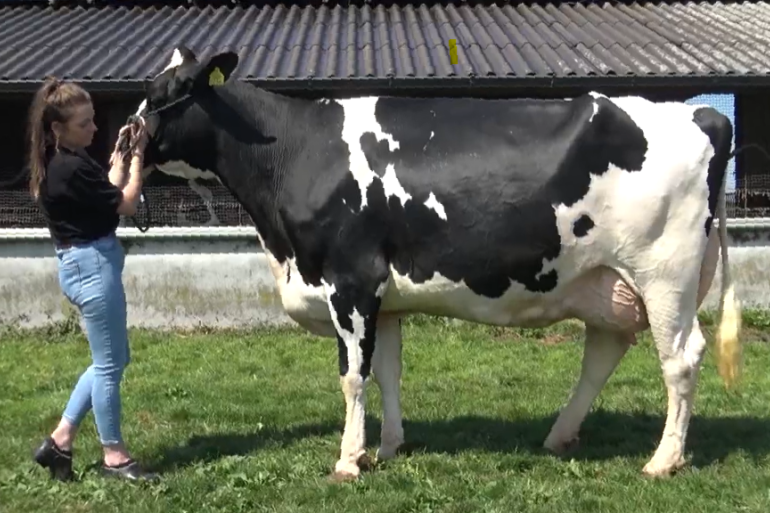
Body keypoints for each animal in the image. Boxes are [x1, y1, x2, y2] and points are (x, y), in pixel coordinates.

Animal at [132, 46, 741, 481]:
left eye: (165, 91)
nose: (125, 137)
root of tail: (702, 113)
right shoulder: (384, 297)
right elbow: (386, 370)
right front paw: (388, 447)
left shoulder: (351, 280)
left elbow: (352, 375)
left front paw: (349, 460)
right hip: (606, 280)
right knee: (604, 354)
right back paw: (560, 436)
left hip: (665, 274)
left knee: (680, 358)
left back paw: (663, 460)